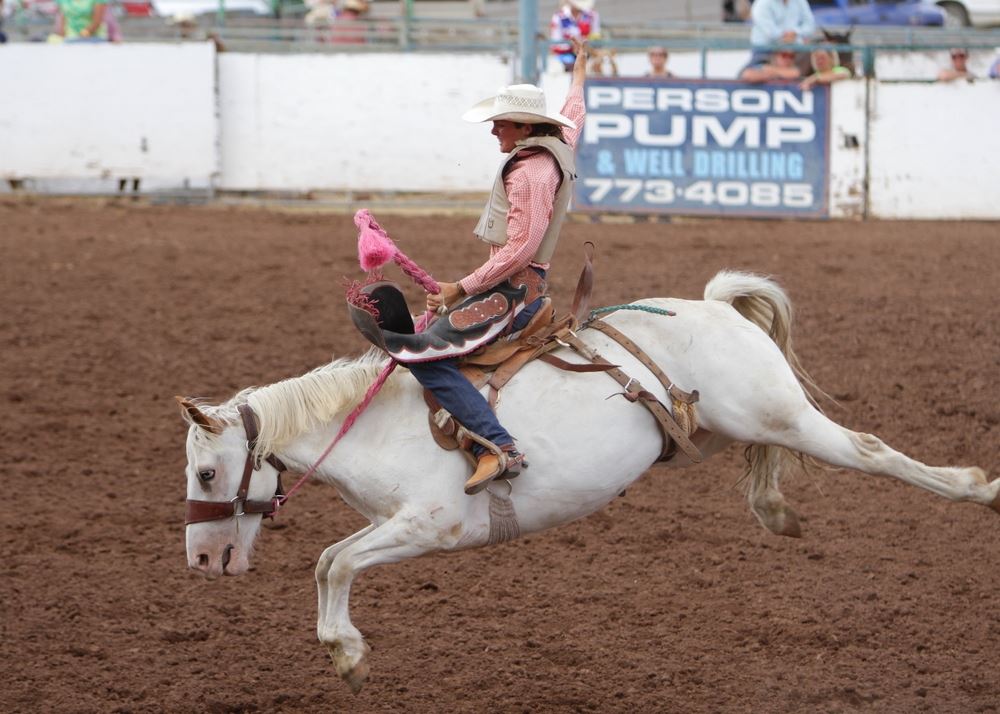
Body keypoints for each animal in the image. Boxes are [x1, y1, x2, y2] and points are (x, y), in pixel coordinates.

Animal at [178, 270, 996, 693]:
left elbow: (336, 562)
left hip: (781, 416)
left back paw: (974, 487)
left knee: (870, 450)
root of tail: (718, 307)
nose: (202, 560)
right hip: (736, 428)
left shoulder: (432, 525)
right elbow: (329, 562)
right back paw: (778, 510)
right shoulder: (393, 525)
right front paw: (346, 654)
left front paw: (346, 653)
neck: (372, 422)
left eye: (208, 470)